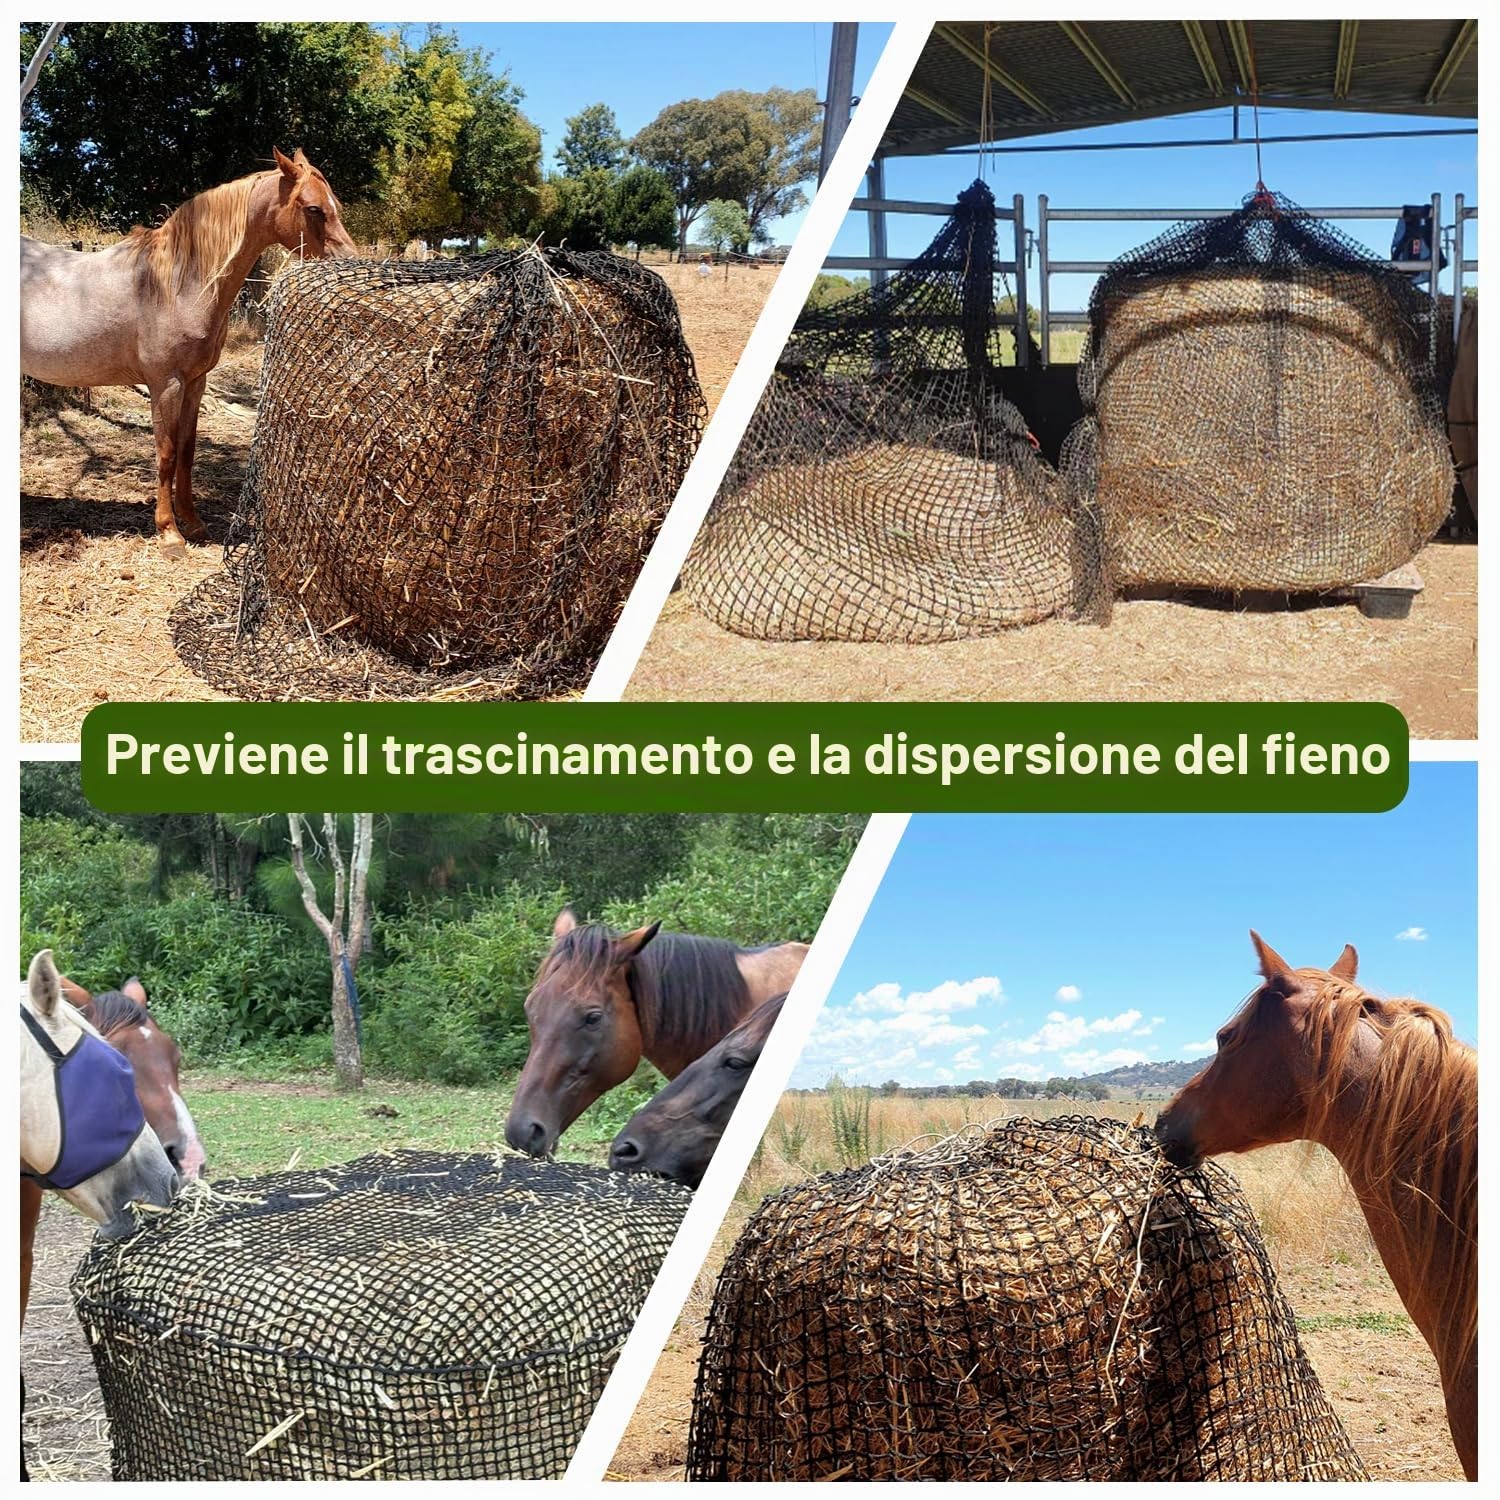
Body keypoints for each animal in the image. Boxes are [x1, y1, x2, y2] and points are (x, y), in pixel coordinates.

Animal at [20, 147, 355, 552]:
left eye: (334, 204)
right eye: (313, 208)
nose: (350, 263)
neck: (178, 283)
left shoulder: (196, 382)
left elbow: (186, 450)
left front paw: (193, 523)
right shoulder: (166, 383)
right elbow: (166, 453)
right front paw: (169, 532)